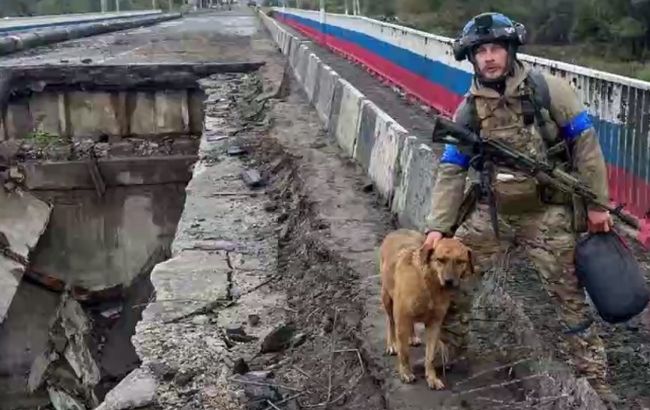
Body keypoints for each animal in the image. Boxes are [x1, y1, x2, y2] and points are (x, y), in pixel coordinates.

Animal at [380, 229, 470, 390]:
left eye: (460, 261)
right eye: (440, 260)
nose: (449, 281)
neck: (431, 285)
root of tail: (397, 231)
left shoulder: (434, 324)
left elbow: (430, 356)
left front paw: (432, 377)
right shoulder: (402, 319)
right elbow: (404, 353)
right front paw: (406, 373)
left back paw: (412, 337)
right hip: (387, 297)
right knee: (390, 321)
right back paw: (392, 344)